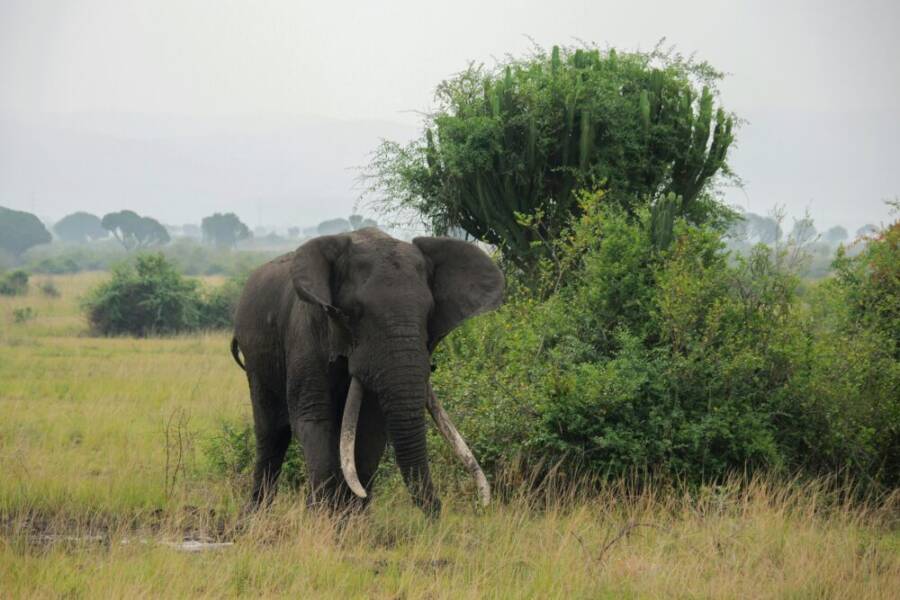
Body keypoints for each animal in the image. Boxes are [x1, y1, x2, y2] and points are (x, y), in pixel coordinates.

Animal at [230, 227, 504, 516]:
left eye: (429, 312)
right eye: (354, 312)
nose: (437, 513)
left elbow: (370, 431)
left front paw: (350, 519)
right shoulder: (306, 333)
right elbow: (315, 419)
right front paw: (320, 517)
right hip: (256, 355)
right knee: (271, 433)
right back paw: (254, 516)